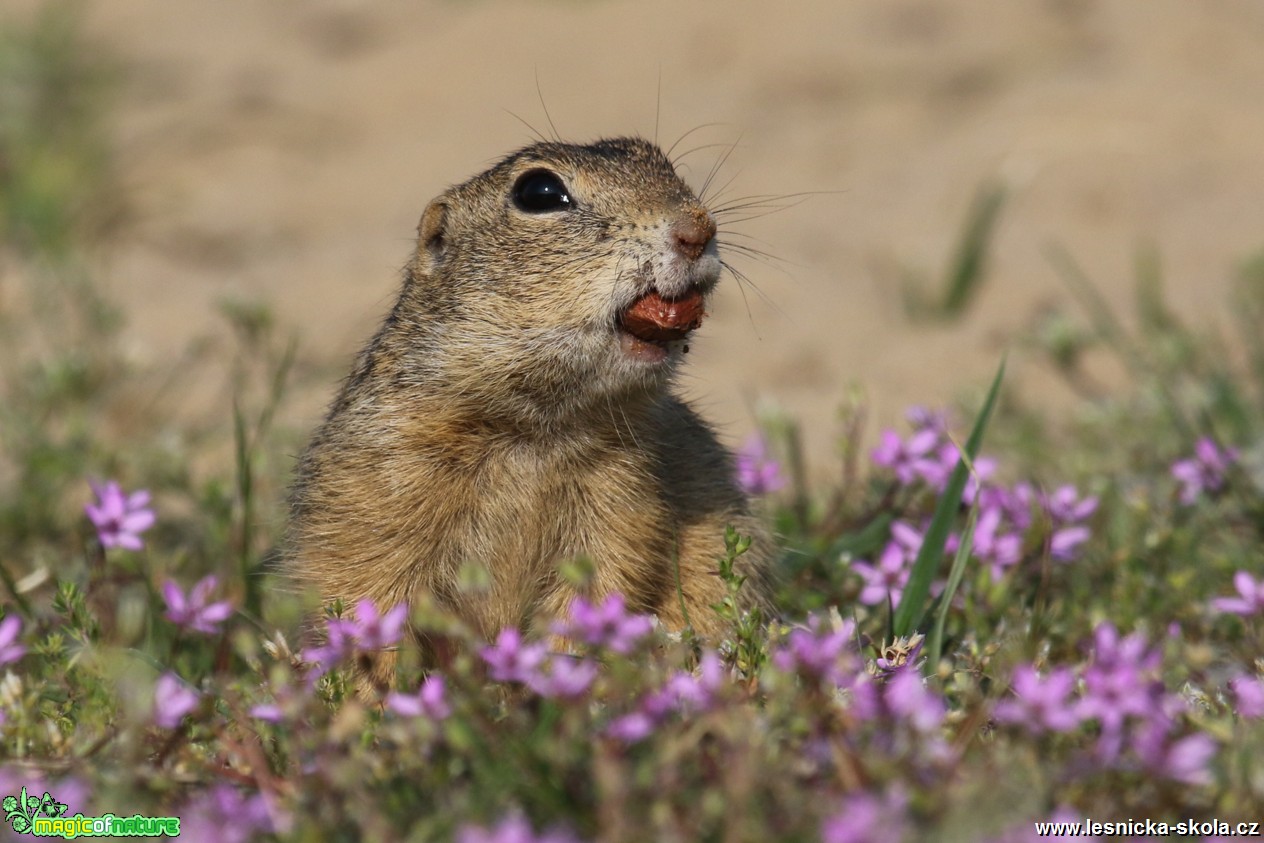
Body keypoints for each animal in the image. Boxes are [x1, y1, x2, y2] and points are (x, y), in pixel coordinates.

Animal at [286, 138, 773, 677]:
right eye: (538, 192)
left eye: (656, 156)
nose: (699, 228)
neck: (534, 428)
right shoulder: (380, 484)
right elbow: (363, 590)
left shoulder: (623, 495)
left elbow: (602, 582)